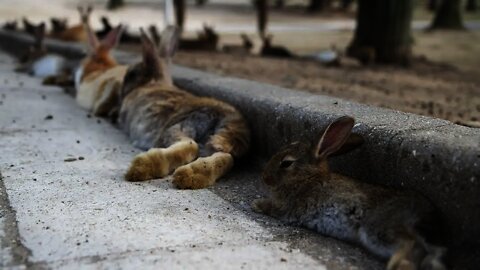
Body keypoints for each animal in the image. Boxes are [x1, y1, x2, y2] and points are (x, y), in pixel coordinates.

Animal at [117, 26, 249, 189]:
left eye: (131, 74)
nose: (120, 93)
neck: (152, 82)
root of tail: (227, 118)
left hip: (177, 127)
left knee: (190, 146)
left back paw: (142, 166)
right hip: (209, 140)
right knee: (226, 158)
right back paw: (193, 176)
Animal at [253, 116, 448, 270]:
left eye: (286, 163)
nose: (264, 177)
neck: (307, 178)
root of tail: (421, 210)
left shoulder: (289, 208)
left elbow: (274, 209)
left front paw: (257, 204)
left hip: (376, 228)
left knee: (409, 242)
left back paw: (395, 265)